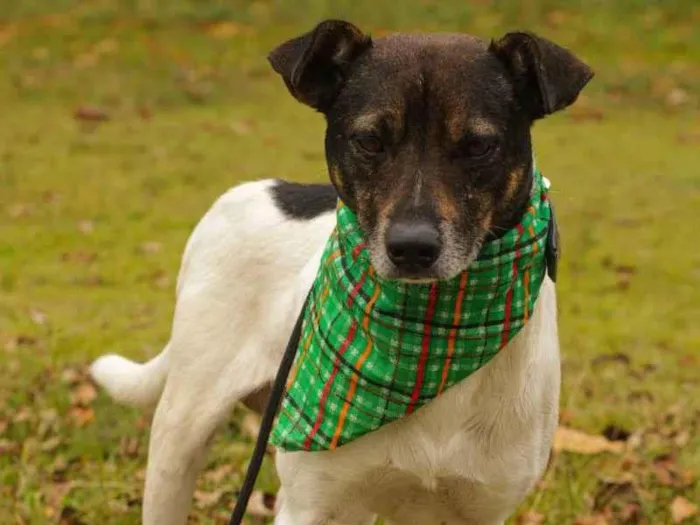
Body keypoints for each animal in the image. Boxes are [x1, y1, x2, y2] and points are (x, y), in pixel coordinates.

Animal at [89, 20, 592, 524]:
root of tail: (255, 189)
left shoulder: (477, 509)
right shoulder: (313, 505)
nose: (412, 248)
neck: (428, 335)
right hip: (182, 431)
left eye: (478, 146)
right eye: (369, 140)